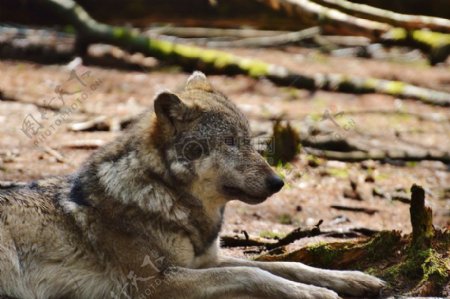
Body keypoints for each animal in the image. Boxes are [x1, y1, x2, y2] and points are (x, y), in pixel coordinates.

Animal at [0, 71, 384, 298]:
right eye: (230, 142)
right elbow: (254, 274)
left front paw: (354, 279)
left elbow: (286, 266)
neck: (167, 196)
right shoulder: (155, 283)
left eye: (248, 140)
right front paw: (313, 294)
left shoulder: (203, 262)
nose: (279, 182)